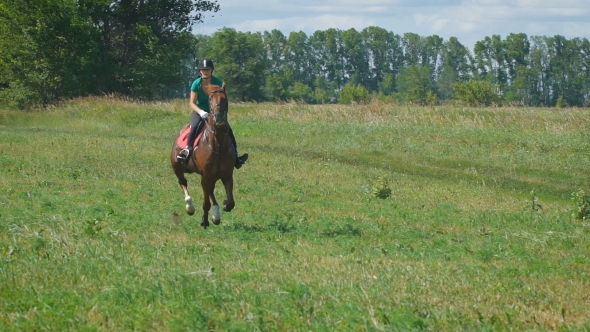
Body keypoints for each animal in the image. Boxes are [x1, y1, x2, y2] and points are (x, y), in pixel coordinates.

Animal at [170, 83, 237, 228]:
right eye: (210, 99)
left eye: (224, 99)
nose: (218, 117)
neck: (218, 144)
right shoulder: (205, 177)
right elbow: (206, 203)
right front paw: (204, 221)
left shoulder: (227, 175)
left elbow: (231, 202)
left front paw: (223, 206)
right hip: (178, 168)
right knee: (183, 183)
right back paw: (190, 207)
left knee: (210, 191)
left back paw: (216, 215)